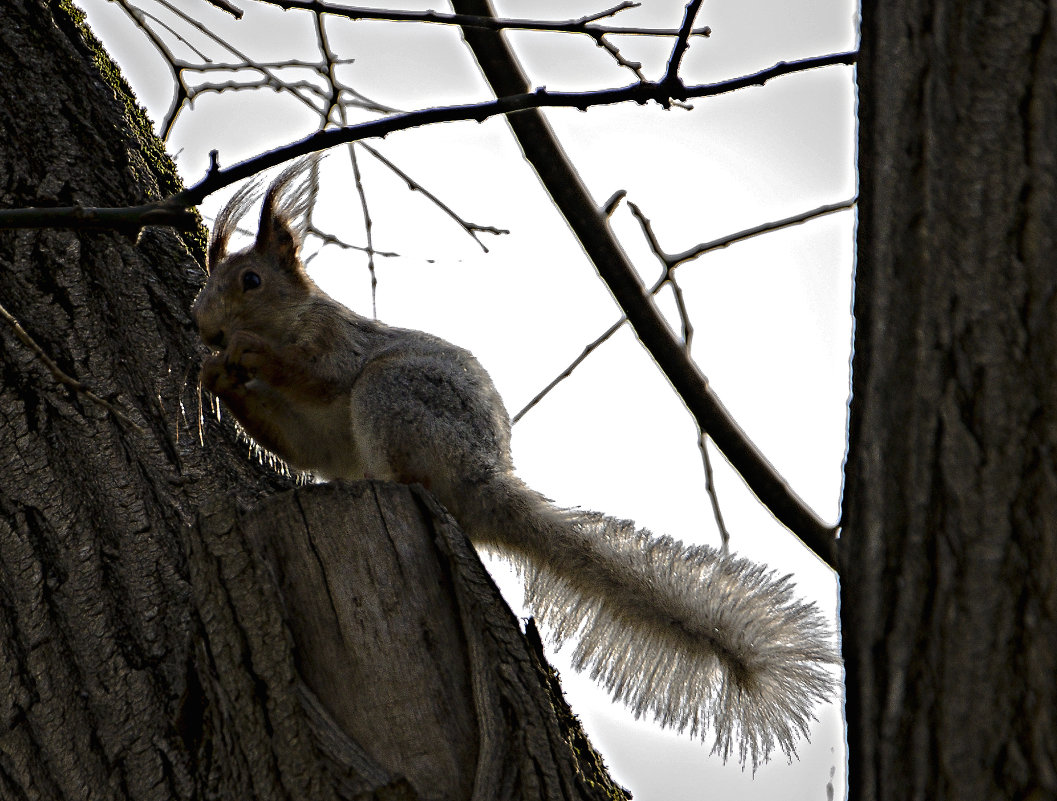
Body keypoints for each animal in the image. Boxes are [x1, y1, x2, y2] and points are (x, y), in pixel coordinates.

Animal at [190, 155, 832, 773]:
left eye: (251, 280)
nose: (206, 328)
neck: (297, 317)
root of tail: (483, 484)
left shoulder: (339, 348)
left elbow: (315, 373)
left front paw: (246, 352)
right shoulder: (312, 436)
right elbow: (295, 441)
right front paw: (215, 377)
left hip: (391, 394)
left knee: (404, 467)